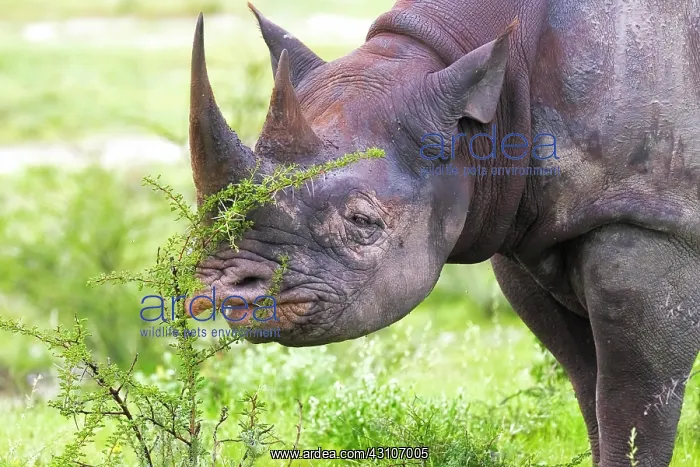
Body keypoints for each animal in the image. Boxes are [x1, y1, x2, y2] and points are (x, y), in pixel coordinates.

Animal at [185, 1, 700, 465]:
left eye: (362, 223)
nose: (227, 289)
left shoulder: (648, 218)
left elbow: (631, 403)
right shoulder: (529, 234)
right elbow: (587, 380)